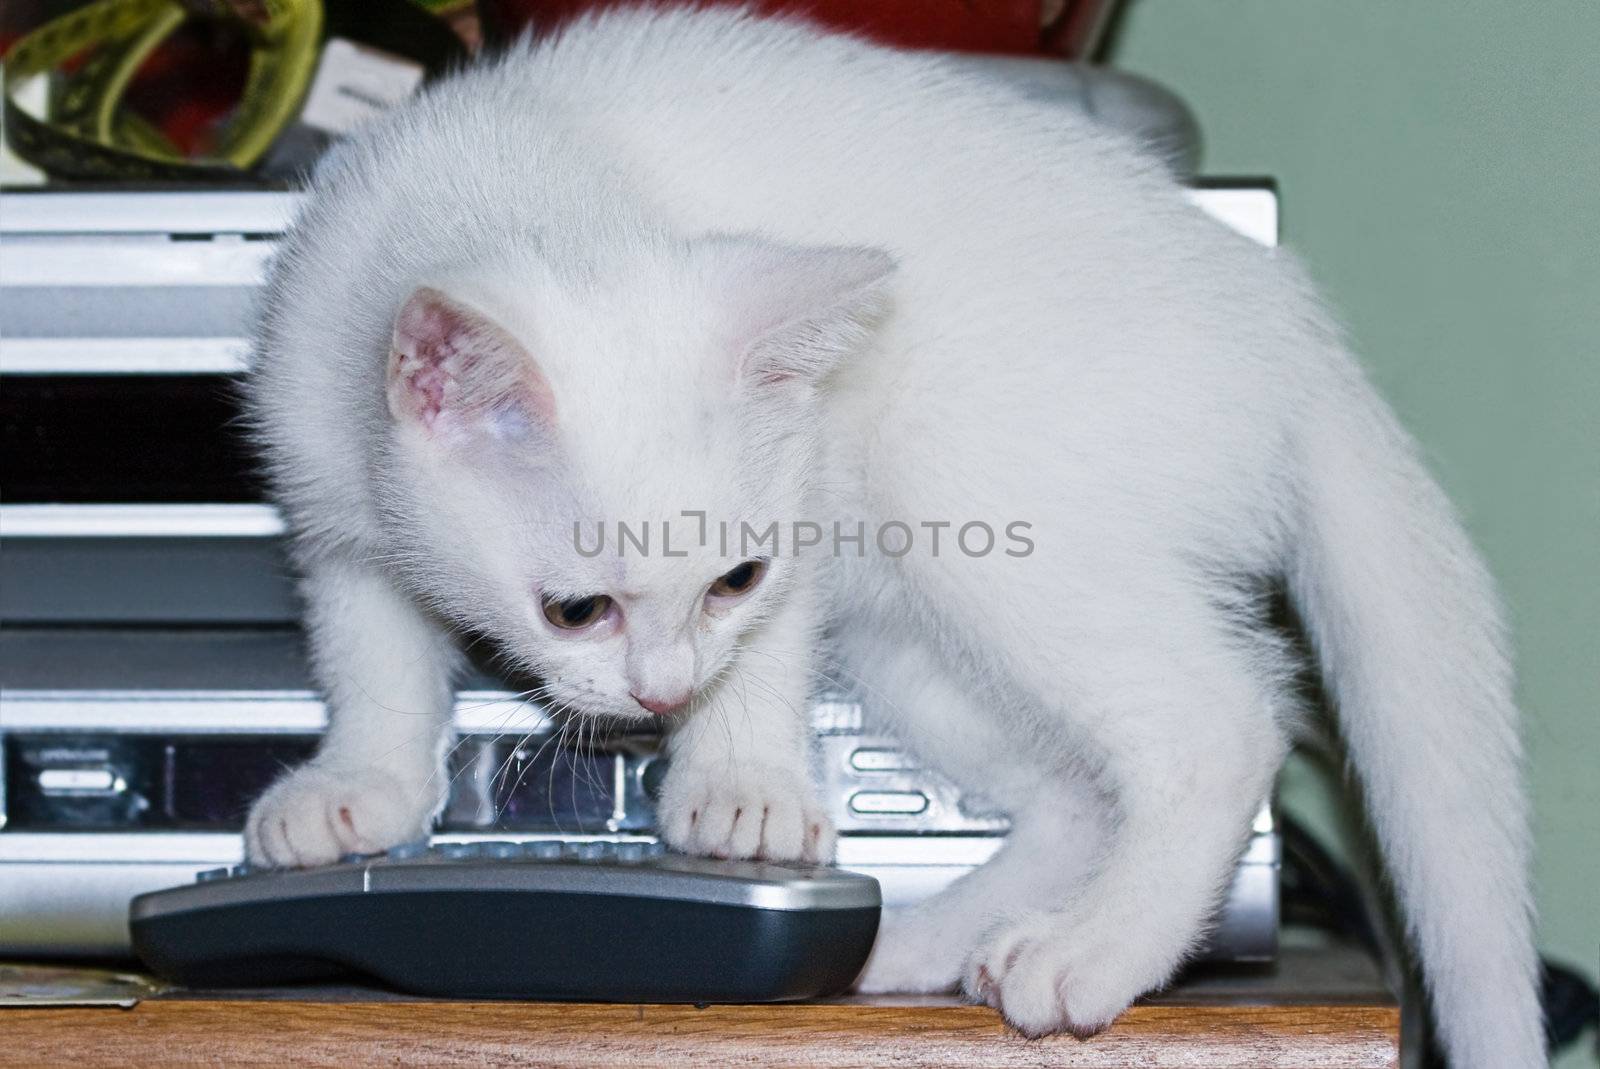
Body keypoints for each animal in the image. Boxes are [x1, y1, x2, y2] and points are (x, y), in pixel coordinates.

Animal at [243, 10, 1542, 1069]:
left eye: (735, 578)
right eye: (576, 608)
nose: (663, 697)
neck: (517, 168)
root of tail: (1297, 335)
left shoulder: (813, 483)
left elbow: (767, 651)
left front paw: (743, 788)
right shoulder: (324, 488)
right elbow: (369, 644)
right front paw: (354, 791)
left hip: (977, 503)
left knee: (1221, 721)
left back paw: (1094, 951)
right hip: (918, 642)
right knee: (1075, 792)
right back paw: (929, 944)